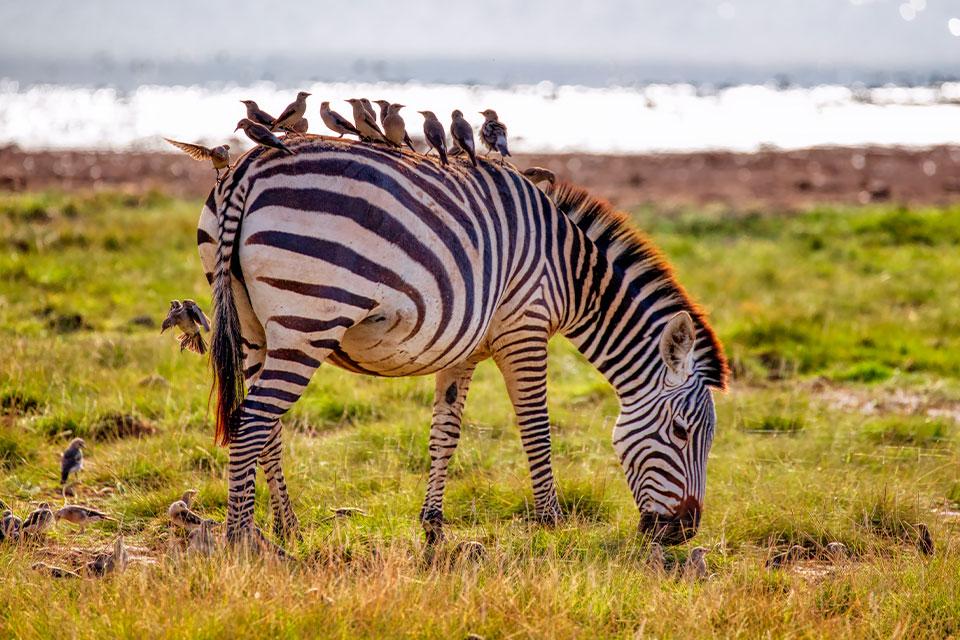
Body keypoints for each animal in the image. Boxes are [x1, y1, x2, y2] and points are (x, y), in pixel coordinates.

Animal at [196, 136, 727, 549]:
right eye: (682, 432)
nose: (682, 533)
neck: (570, 271)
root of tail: (249, 164)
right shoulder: (524, 327)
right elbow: (536, 427)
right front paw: (552, 524)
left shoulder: (465, 348)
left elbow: (445, 433)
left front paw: (432, 527)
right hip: (307, 321)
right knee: (253, 421)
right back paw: (240, 540)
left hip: (253, 329)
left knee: (265, 425)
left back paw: (287, 529)